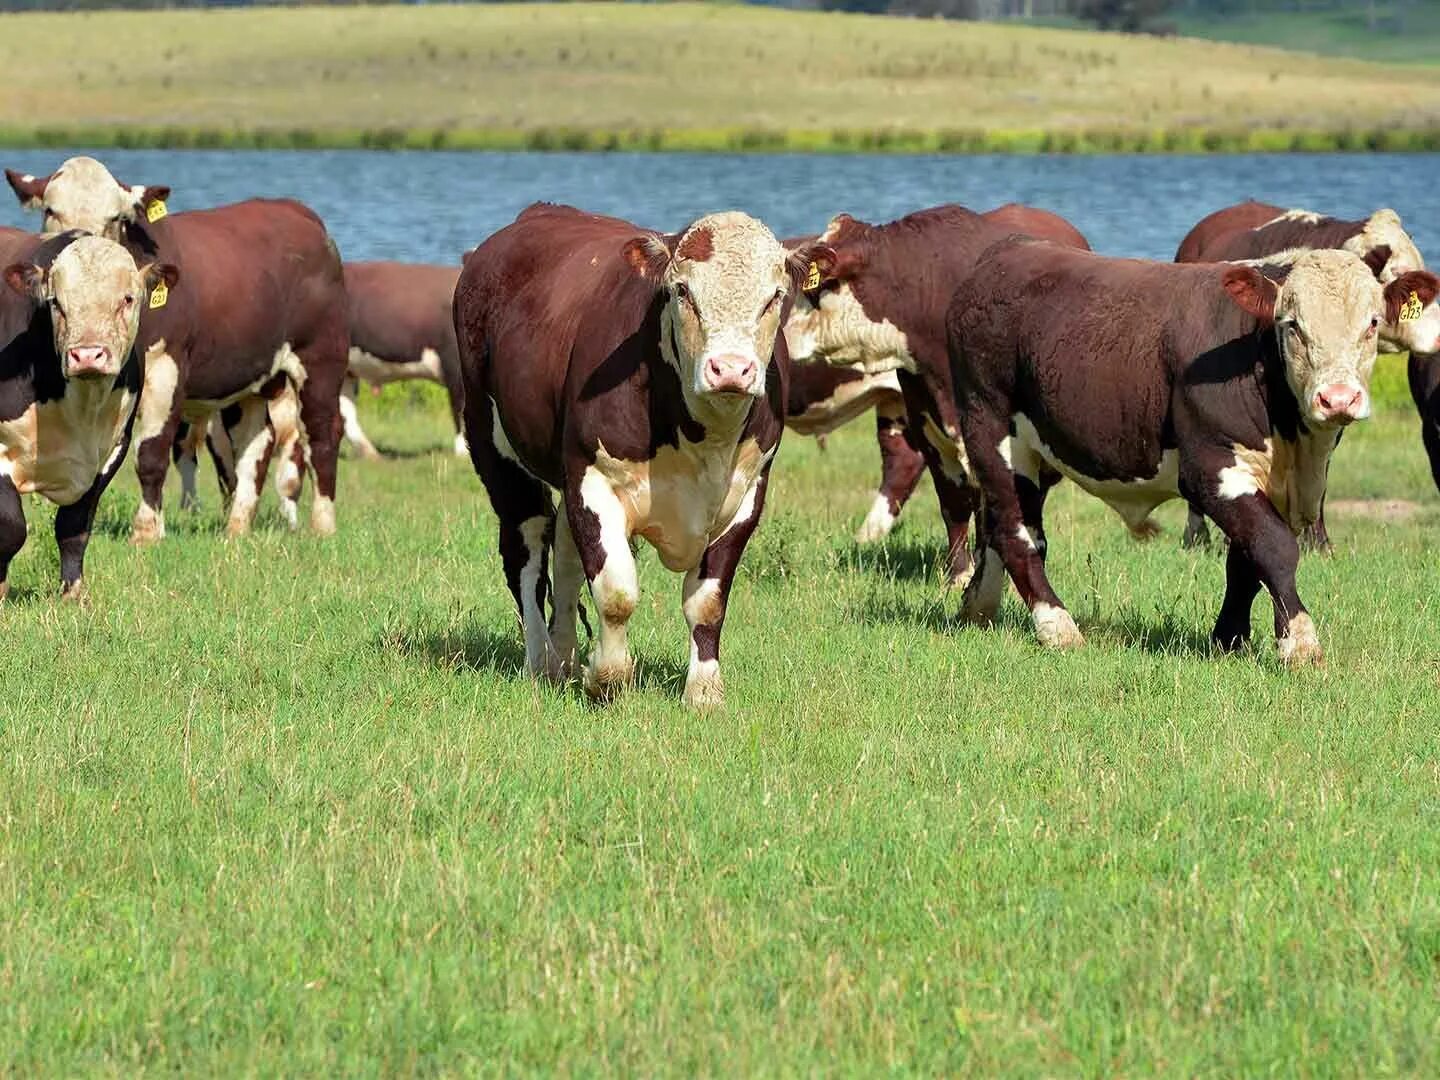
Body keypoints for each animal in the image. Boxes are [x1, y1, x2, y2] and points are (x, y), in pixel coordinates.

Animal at [0, 230, 178, 601]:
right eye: (56, 303)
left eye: (127, 299)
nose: (87, 354)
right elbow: (11, 527)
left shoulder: (110, 451)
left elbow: (74, 527)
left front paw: (73, 593)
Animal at [8, 158, 348, 541]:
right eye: (51, 210)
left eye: (116, 217)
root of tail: (298, 212)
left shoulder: (164, 370)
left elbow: (151, 453)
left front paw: (146, 532)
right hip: (255, 375)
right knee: (256, 442)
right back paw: (237, 528)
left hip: (321, 358)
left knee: (322, 434)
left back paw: (323, 525)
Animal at [455, 203, 829, 711]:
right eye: (682, 290)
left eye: (775, 296)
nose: (731, 369)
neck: (704, 440)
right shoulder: (595, 479)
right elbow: (616, 592)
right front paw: (609, 678)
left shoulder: (748, 493)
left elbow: (707, 602)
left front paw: (704, 692)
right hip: (495, 446)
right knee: (526, 551)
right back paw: (542, 662)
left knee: (565, 556)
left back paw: (566, 657)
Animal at [944, 244, 1393, 668]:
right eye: (1293, 325)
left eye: (1372, 322)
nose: (1338, 398)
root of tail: (1006, 253)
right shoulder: (1212, 466)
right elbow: (1273, 546)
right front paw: (1299, 644)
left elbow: (1244, 563)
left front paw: (1229, 640)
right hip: (992, 432)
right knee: (1017, 534)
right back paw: (1057, 626)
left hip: (1036, 452)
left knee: (1002, 526)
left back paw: (978, 608)